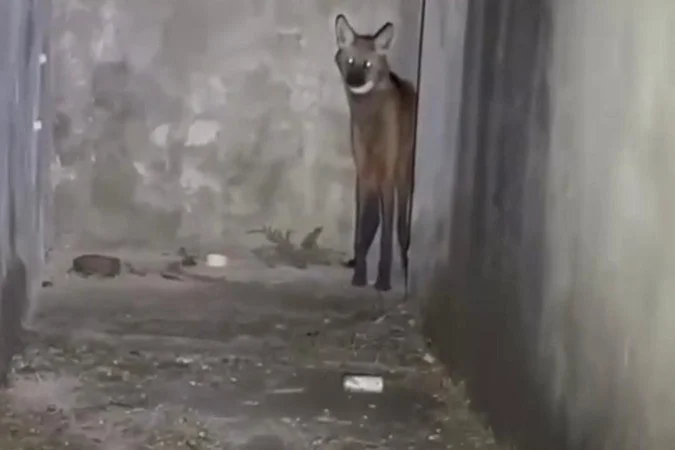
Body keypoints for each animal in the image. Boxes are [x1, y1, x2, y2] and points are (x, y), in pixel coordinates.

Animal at [334, 14, 417, 292]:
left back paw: (405, 267)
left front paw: (383, 280)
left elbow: (387, 236)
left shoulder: (387, 174)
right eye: (351, 61)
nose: (354, 81)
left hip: (403, 176)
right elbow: (362, 229)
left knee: (400, 226)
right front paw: (360, 275)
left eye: (367, 64)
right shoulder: (364, 173)